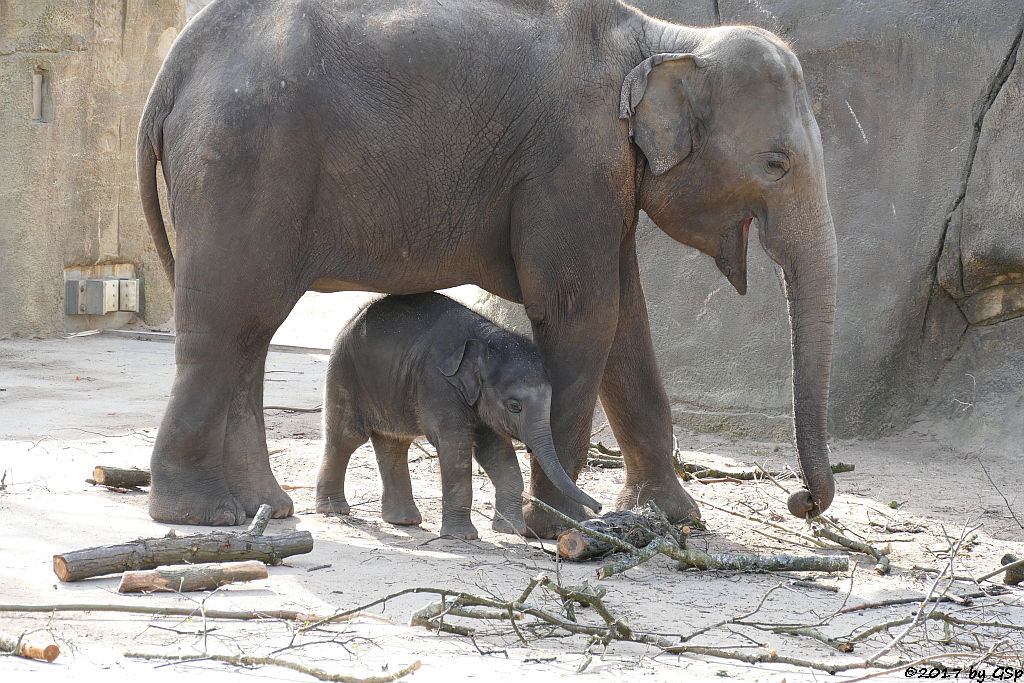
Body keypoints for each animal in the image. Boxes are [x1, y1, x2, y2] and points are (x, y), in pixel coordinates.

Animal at [317, 294, 598, 540]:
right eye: (515, 406)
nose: (599, 509)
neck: (487, 337)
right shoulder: (438, 384)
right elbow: (457, 447)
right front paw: (461, 536)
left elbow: (496, 450)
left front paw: (512, 530)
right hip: (345, 372)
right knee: (346, 437)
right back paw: (333, 509)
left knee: (394, 443)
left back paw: (404, 520)